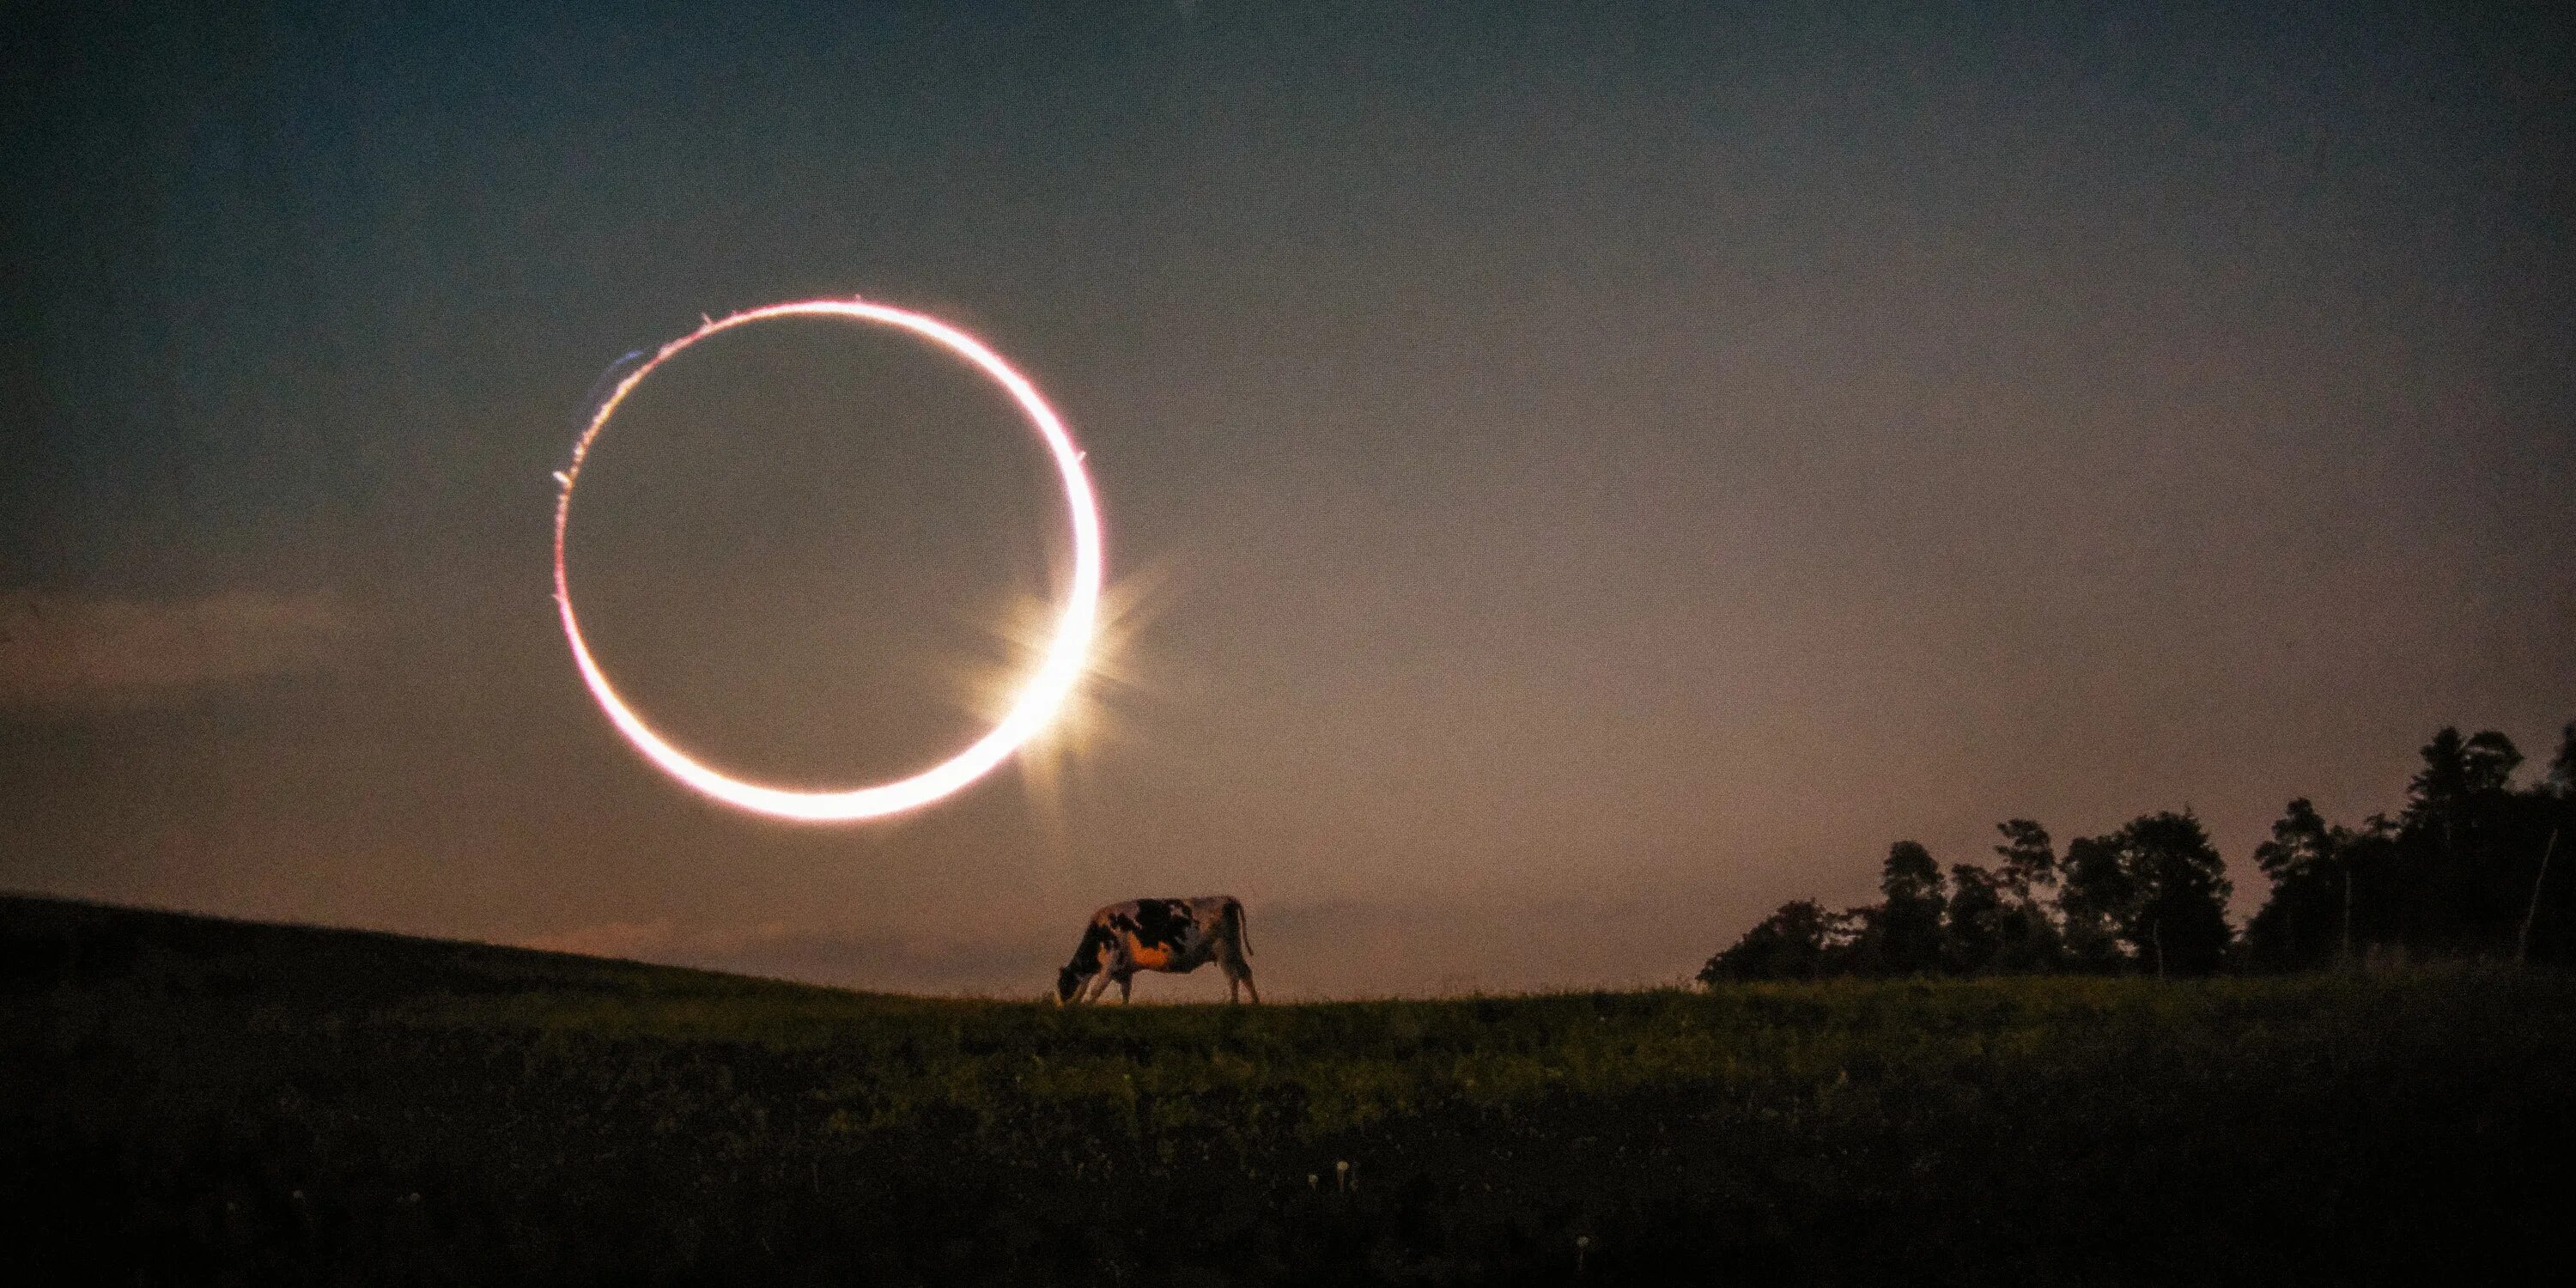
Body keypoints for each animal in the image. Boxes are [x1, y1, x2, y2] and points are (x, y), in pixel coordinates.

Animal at [1056, 896, 1257, 1005]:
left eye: (1062, 984)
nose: (1059, 1006)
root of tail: (1226, 898)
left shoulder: (1109, 965)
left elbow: (1095, 991)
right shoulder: (1125, 971)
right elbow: (1125, 993)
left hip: (1224, 951)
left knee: (1233, 977)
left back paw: (1233, 1004)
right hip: (1234, 950)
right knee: (1245, 972)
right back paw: (1255, 1002)